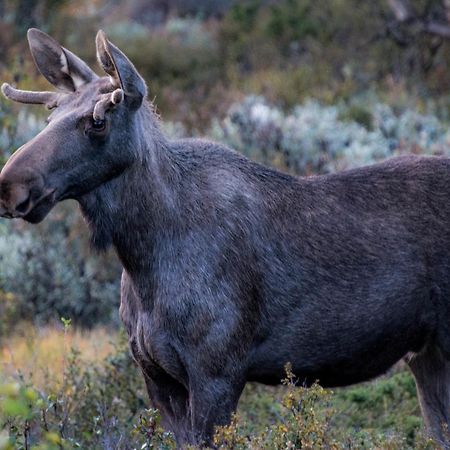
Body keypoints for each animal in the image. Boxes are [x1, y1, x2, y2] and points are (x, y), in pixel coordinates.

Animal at [0, 29, 450, 448]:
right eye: (51, 116)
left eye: (97, 121)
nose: (10, 184)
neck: (143, 258)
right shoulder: (156, 376)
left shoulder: (218, 371)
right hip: (425, 354)